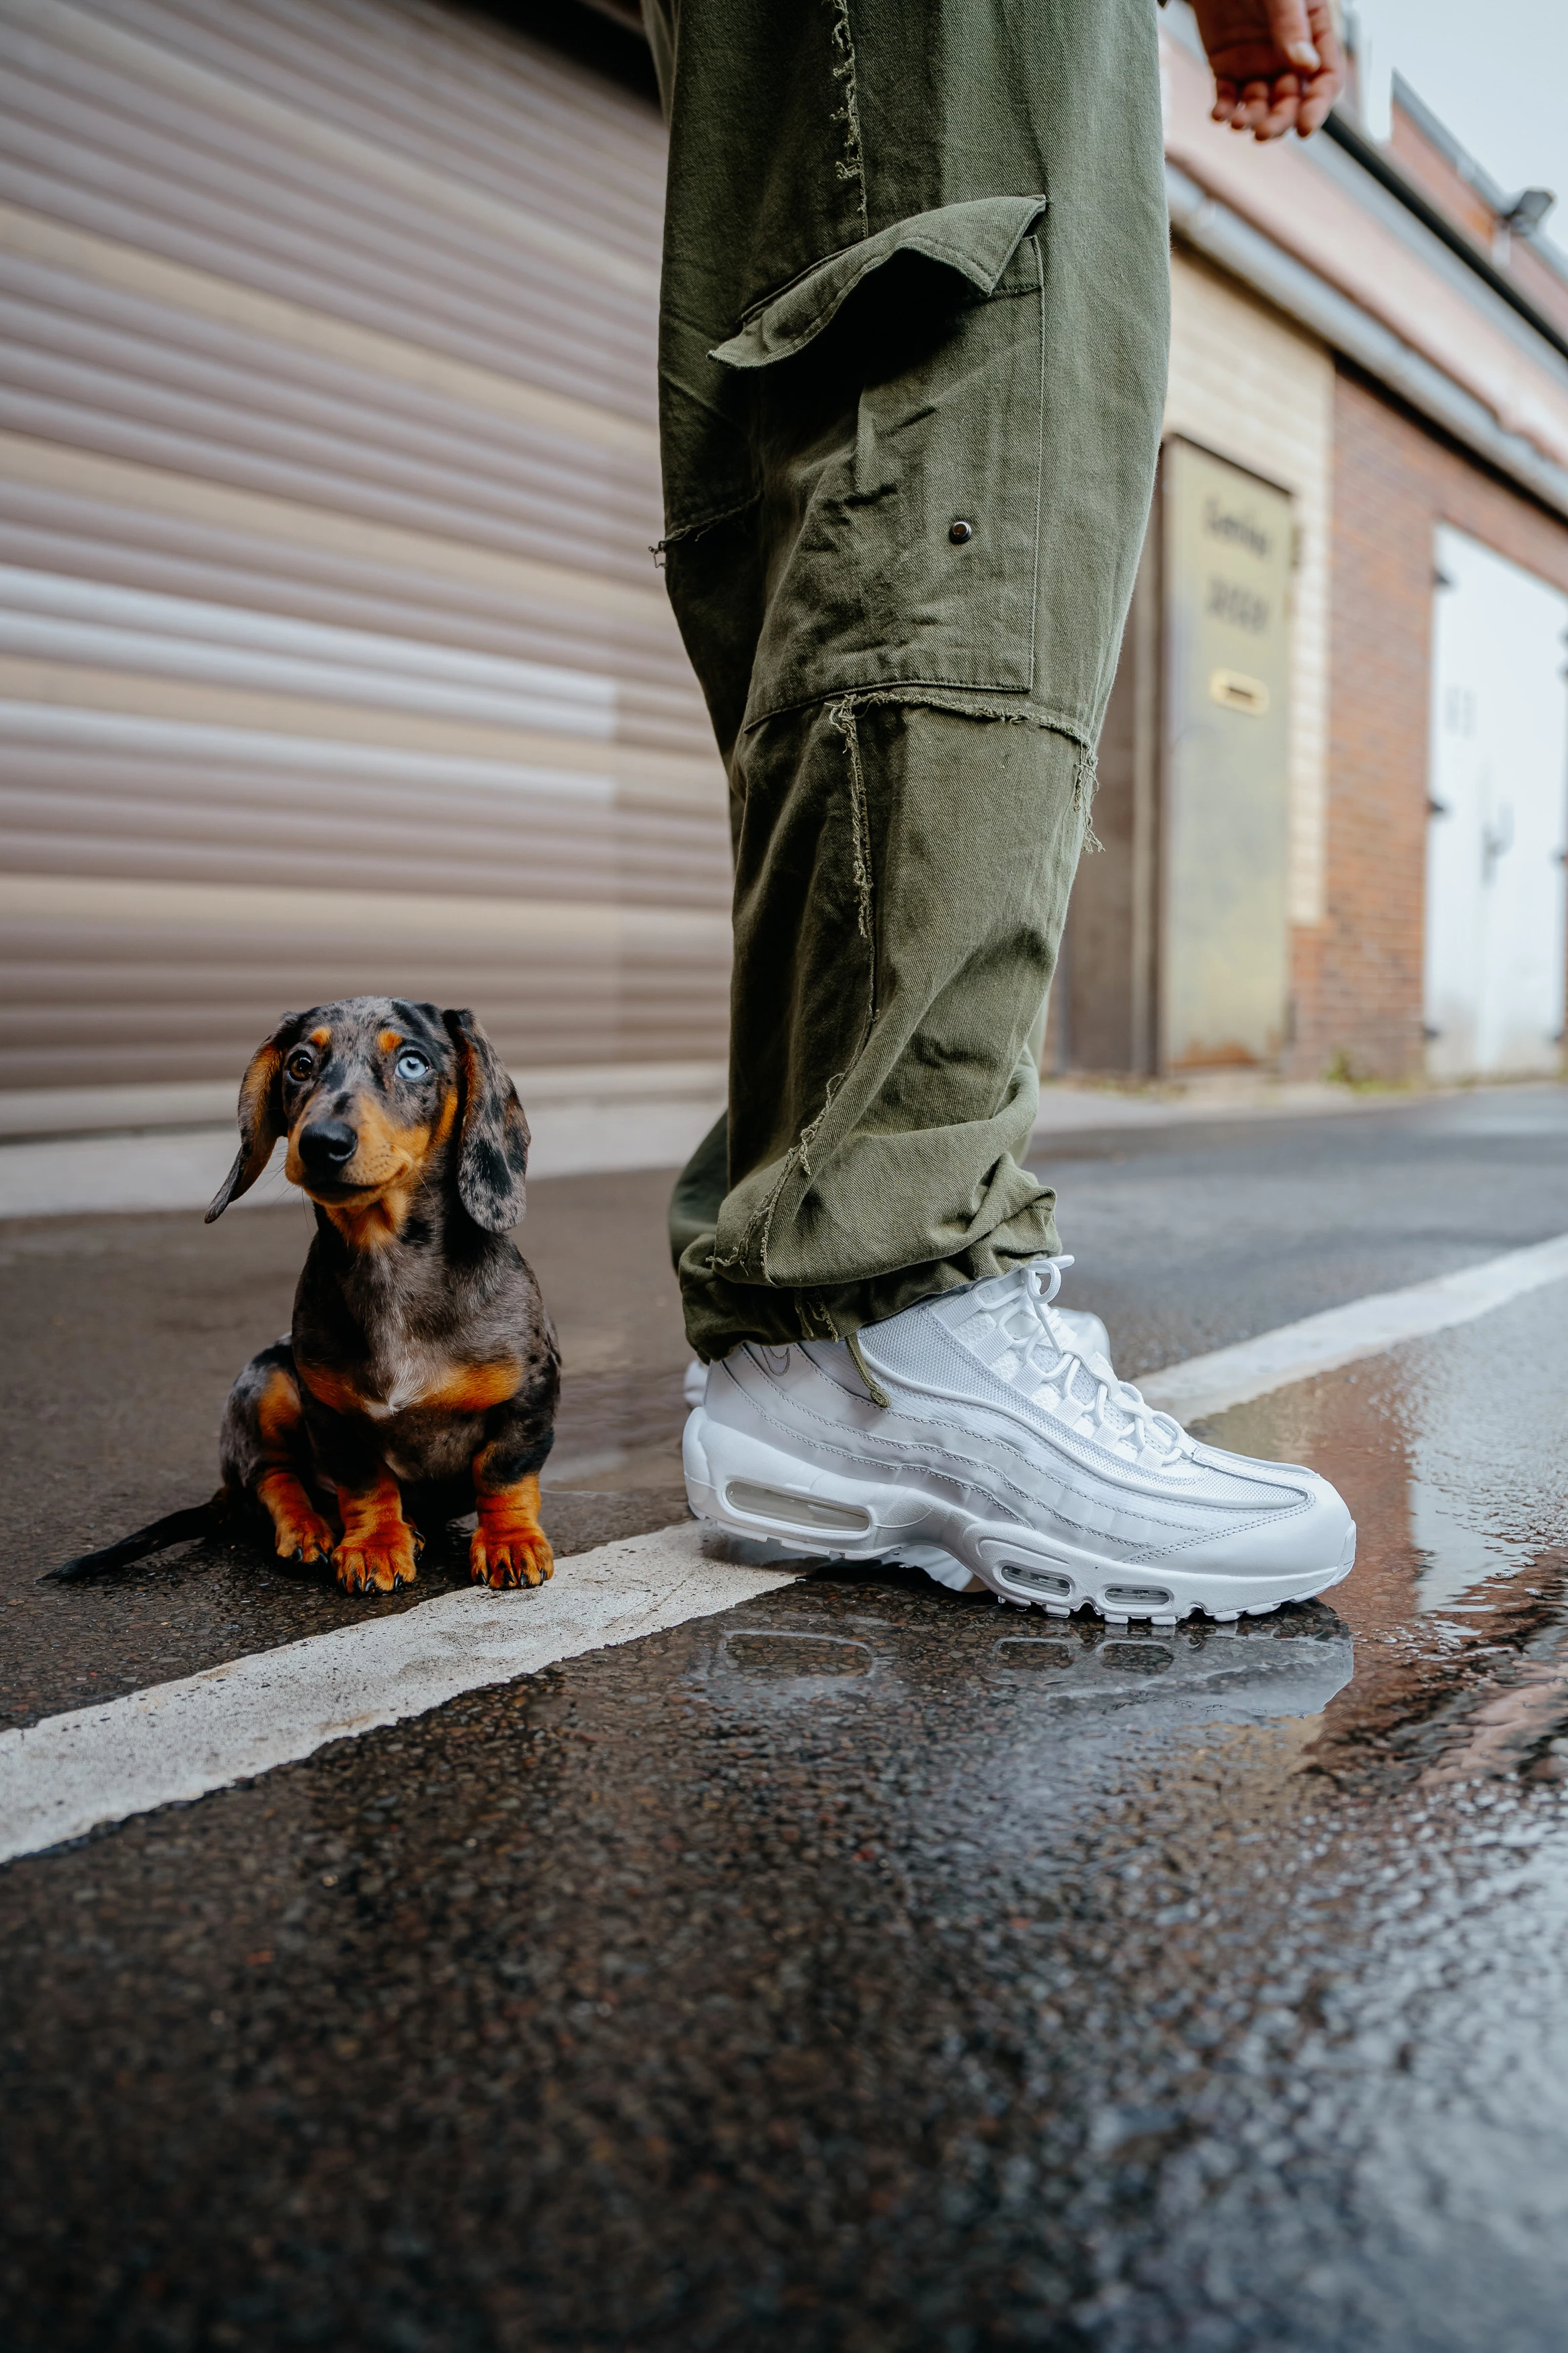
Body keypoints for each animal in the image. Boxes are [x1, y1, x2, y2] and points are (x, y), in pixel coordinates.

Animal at [52, 993, 561, 1600]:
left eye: (412, 1063)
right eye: (300, 1065)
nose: (322, 1143)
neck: (390, 1261)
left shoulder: (529, 1394)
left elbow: (504, 1471)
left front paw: (510, 1541)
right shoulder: (330, 1410)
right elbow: (364, 1483)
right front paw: (374, 1545)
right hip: (266, 1375)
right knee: (272, 1476)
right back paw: (311, 1529)